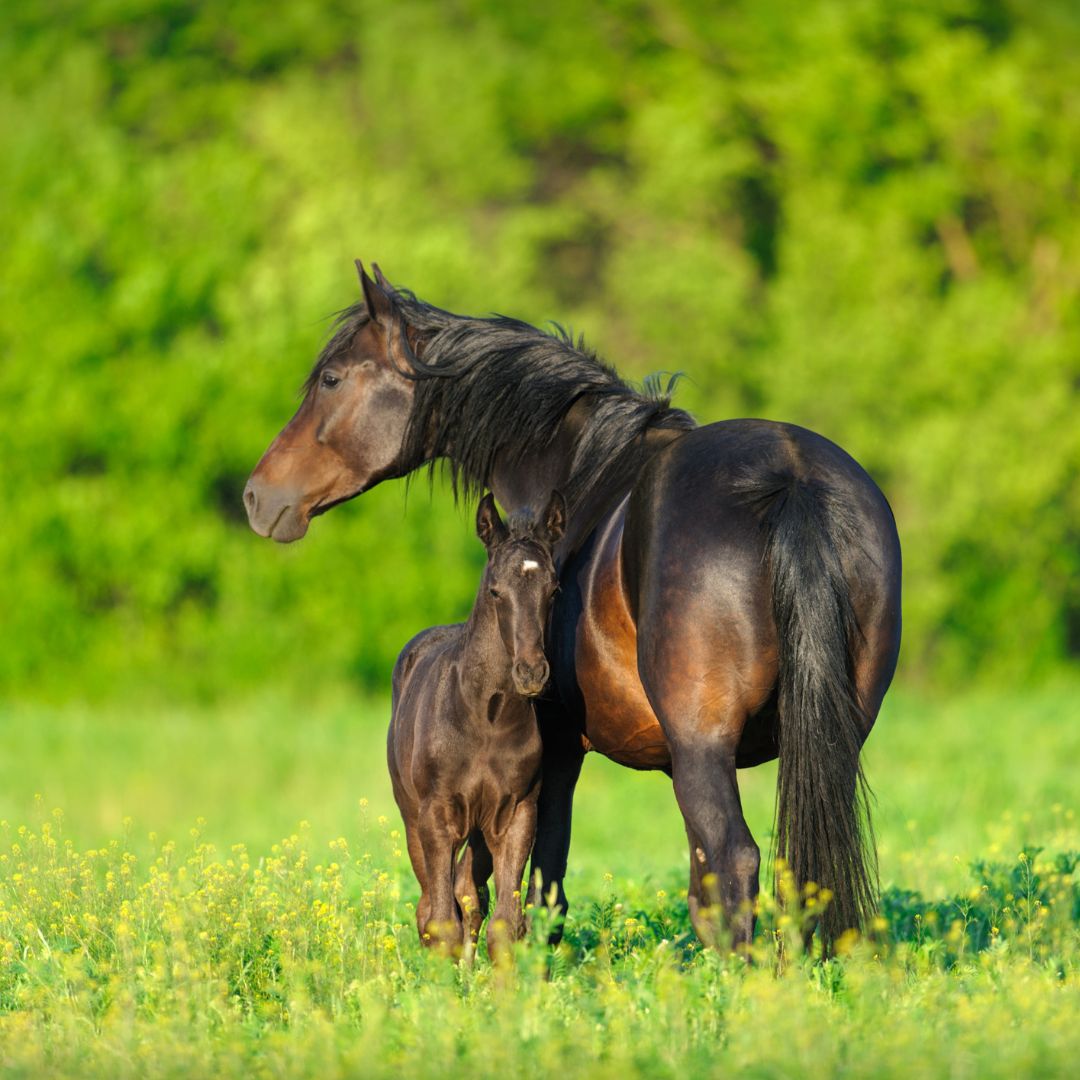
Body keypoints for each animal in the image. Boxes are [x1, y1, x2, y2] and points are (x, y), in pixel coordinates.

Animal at [388, 491, 563, 958]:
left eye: (553, 589)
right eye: (495, 591)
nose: (531, 673)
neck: (487, 718)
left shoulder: (516, 813)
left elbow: (505, 922)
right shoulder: (436, 816)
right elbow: (441, 920)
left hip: (480, 830)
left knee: (468, 892)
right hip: (411, 816)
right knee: (429, 905)